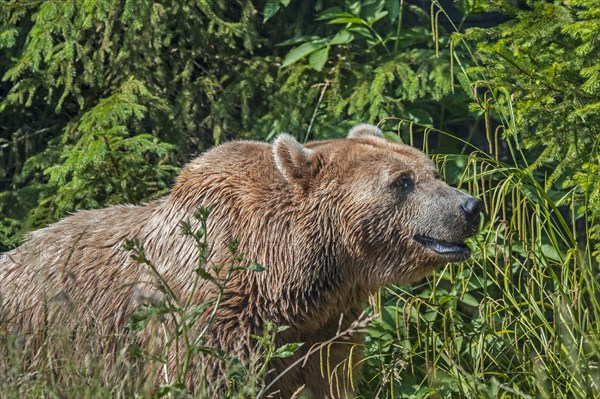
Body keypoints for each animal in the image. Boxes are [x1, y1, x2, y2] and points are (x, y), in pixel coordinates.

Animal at [0, 124, 480, 396]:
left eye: (432, 170)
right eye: (401, 182)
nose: (470, 206)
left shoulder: (326, 330)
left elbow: (331, 378)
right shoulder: (211, 320)